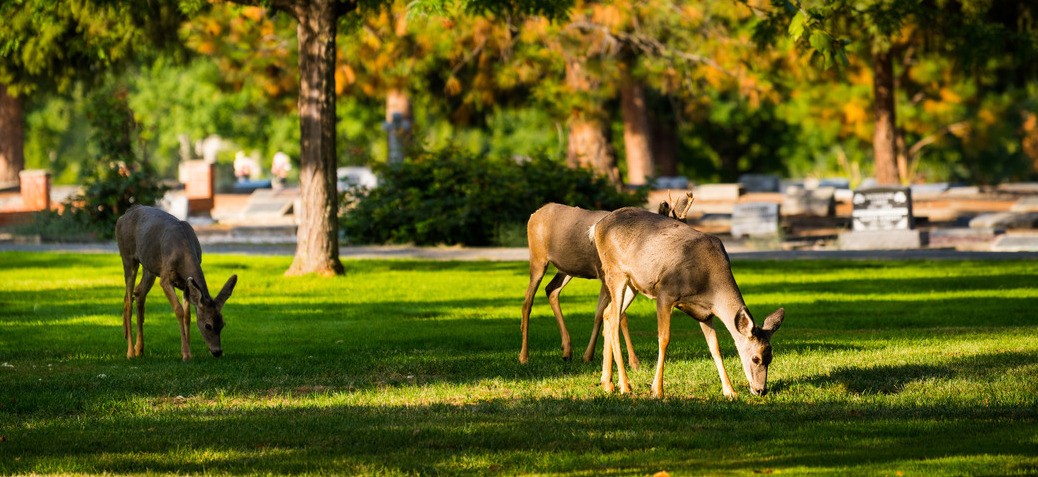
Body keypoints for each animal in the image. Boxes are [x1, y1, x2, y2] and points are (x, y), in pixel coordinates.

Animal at [115, 205, 237, 361]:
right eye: (208, 325)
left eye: (222, 324)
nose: (217, 351)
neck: (182, 252)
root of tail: (125, 214)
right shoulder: (165, 279)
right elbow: (179, 310)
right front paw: (185, 354)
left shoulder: (185, 283)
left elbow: (188, 315)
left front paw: (188, 351)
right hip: (128, 257)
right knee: (128, 301)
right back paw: (130, 352)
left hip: (149, 266)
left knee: (138, 293)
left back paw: (139, 349)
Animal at [520, 194, 695, 368]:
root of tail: (534, 214)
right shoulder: (606, 273)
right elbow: (621, 316)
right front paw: (634, 361)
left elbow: (599, 314)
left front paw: (588, 356)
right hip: (538, 258)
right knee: (528, 301)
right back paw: (524, 356)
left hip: (567, 269)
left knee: (551, 289)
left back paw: (567, 351)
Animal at [590, 206, 784, 399]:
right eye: (755, 358)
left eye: (771, 357)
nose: (760, 390)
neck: (709, 282)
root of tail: (597, 226)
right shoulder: (665, 293)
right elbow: (664, 338)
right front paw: (657, 390)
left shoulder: (705, 313)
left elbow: (715, 347)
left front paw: (730, 391)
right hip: (615, 272)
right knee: (615, 318)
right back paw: (625, 386)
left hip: (633, 284)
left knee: (608, 313)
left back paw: (608, 384)